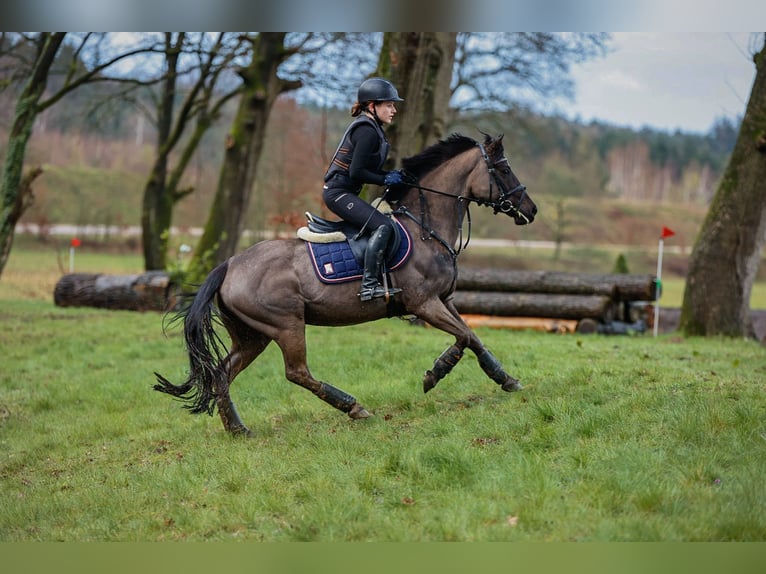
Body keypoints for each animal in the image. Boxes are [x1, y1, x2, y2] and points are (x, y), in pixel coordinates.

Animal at [154, 133, 540, 438]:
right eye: (504, 170)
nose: (531, 209)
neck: (425, 228)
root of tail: (229, 265)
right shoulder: (425, 304)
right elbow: (463, 337)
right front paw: (436, 373)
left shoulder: (443, 300)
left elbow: (472, 337)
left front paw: (503, 378)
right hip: (286, 324)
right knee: (297, 372)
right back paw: (354, 407)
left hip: (253, 336)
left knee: (223, 373)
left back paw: (237, 429)